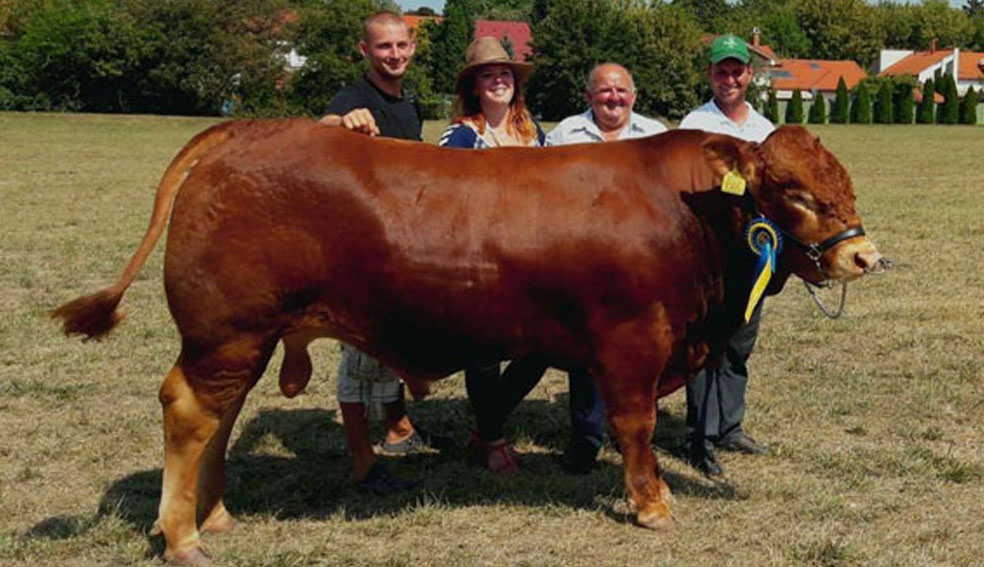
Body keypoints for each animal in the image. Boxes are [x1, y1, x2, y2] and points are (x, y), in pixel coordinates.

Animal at [52, 120, 884, 564]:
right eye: (795, 194)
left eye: (844, 183)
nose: (864, 256)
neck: (688, 214)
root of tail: (249, 130)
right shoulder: (632, 340)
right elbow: (636, 425)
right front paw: (651, 503)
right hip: (226, 332)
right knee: (190, 411)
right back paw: (182, 533)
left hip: (242, 339)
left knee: (219, 417)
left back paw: (215, 513)